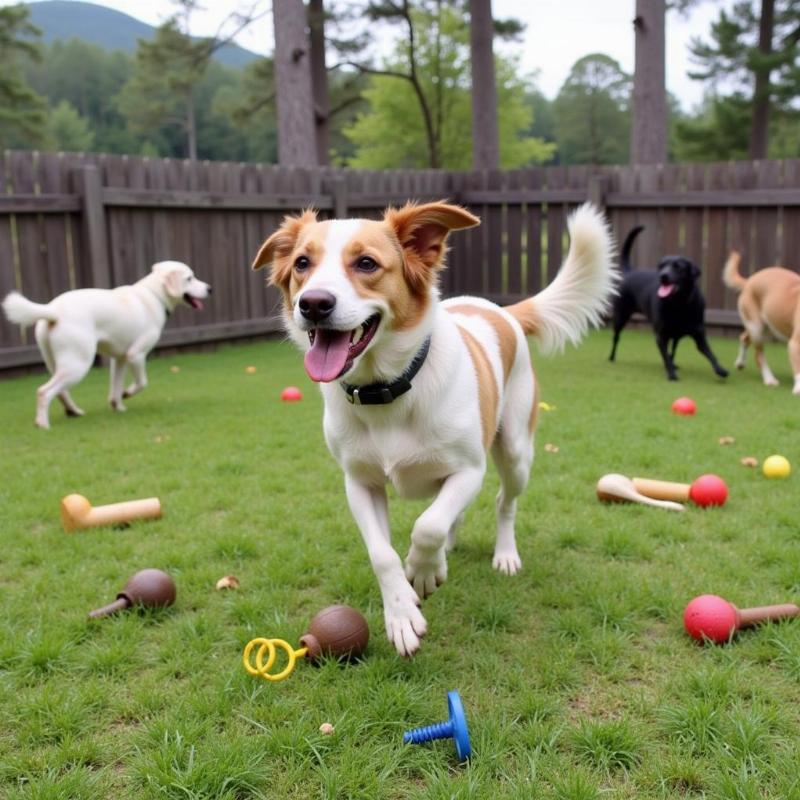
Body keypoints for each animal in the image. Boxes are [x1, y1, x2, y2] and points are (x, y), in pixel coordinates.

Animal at [3, 260, 209, 428]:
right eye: (190, 278)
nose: (210, 289)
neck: (153, 295)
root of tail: (53, 310)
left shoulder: (119, 359)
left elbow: (115, 387)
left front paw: (117, 406)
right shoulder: (135, 355)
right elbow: (142, 382)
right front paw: (127, 394)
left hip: (57, 364)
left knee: (60, 391)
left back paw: (73, 411)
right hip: (78, 364)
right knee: (44, 391)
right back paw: (42, 424)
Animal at [253, 202, 616, 656]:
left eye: (366, 263)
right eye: (302, 263)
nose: (313, 304)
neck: (386, 391)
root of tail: (501, 310)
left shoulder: (469, 470)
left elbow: (427, 526)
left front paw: (424, 571)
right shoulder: (359, 483)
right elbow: (384, 554)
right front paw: (401, 613)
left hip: (516, 451)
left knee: (504, 502)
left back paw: (504, 553)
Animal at [608, 225, 728, 382]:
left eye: (678, 267)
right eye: (661, 266)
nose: (663, 276)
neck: (680, 304)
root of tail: (630, 272)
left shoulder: (699, 335)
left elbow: (710, 353)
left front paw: (720, 369)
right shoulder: (661, 336)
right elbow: (665, 355)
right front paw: (671, 374)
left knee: (673, 349)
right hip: (620, 317)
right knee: (616, 338)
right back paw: (611, 357)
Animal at [724, 250, 800, 394]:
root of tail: (750, 280)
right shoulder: (795, 344)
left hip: (766, 327)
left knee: (744, 338)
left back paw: (740, 362)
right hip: (757, 328)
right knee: (759, 355)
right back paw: (769, 379)